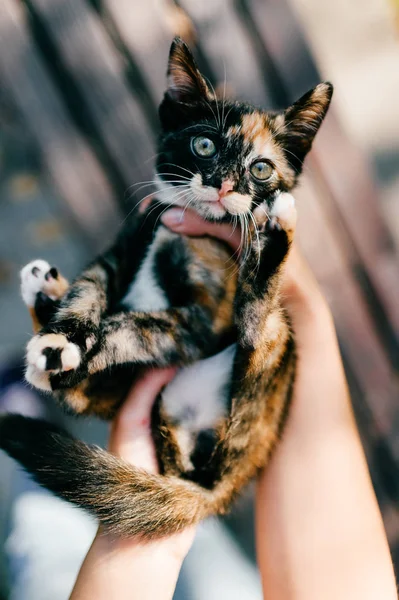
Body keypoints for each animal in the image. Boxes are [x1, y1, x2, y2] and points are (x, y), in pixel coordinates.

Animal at [0, 37, 332, 536]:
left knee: (257, 331)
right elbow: (91, 288)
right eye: (204, 144)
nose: (222, 184)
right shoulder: (124, 246)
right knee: (84, 396)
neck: (181, 229)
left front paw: (83, 342)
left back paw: (274, 236)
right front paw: (63, 337)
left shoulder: (203, 321)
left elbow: (135, 325)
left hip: (273, 363)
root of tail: (219, 491)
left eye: (260, 169)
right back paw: (44, 296)